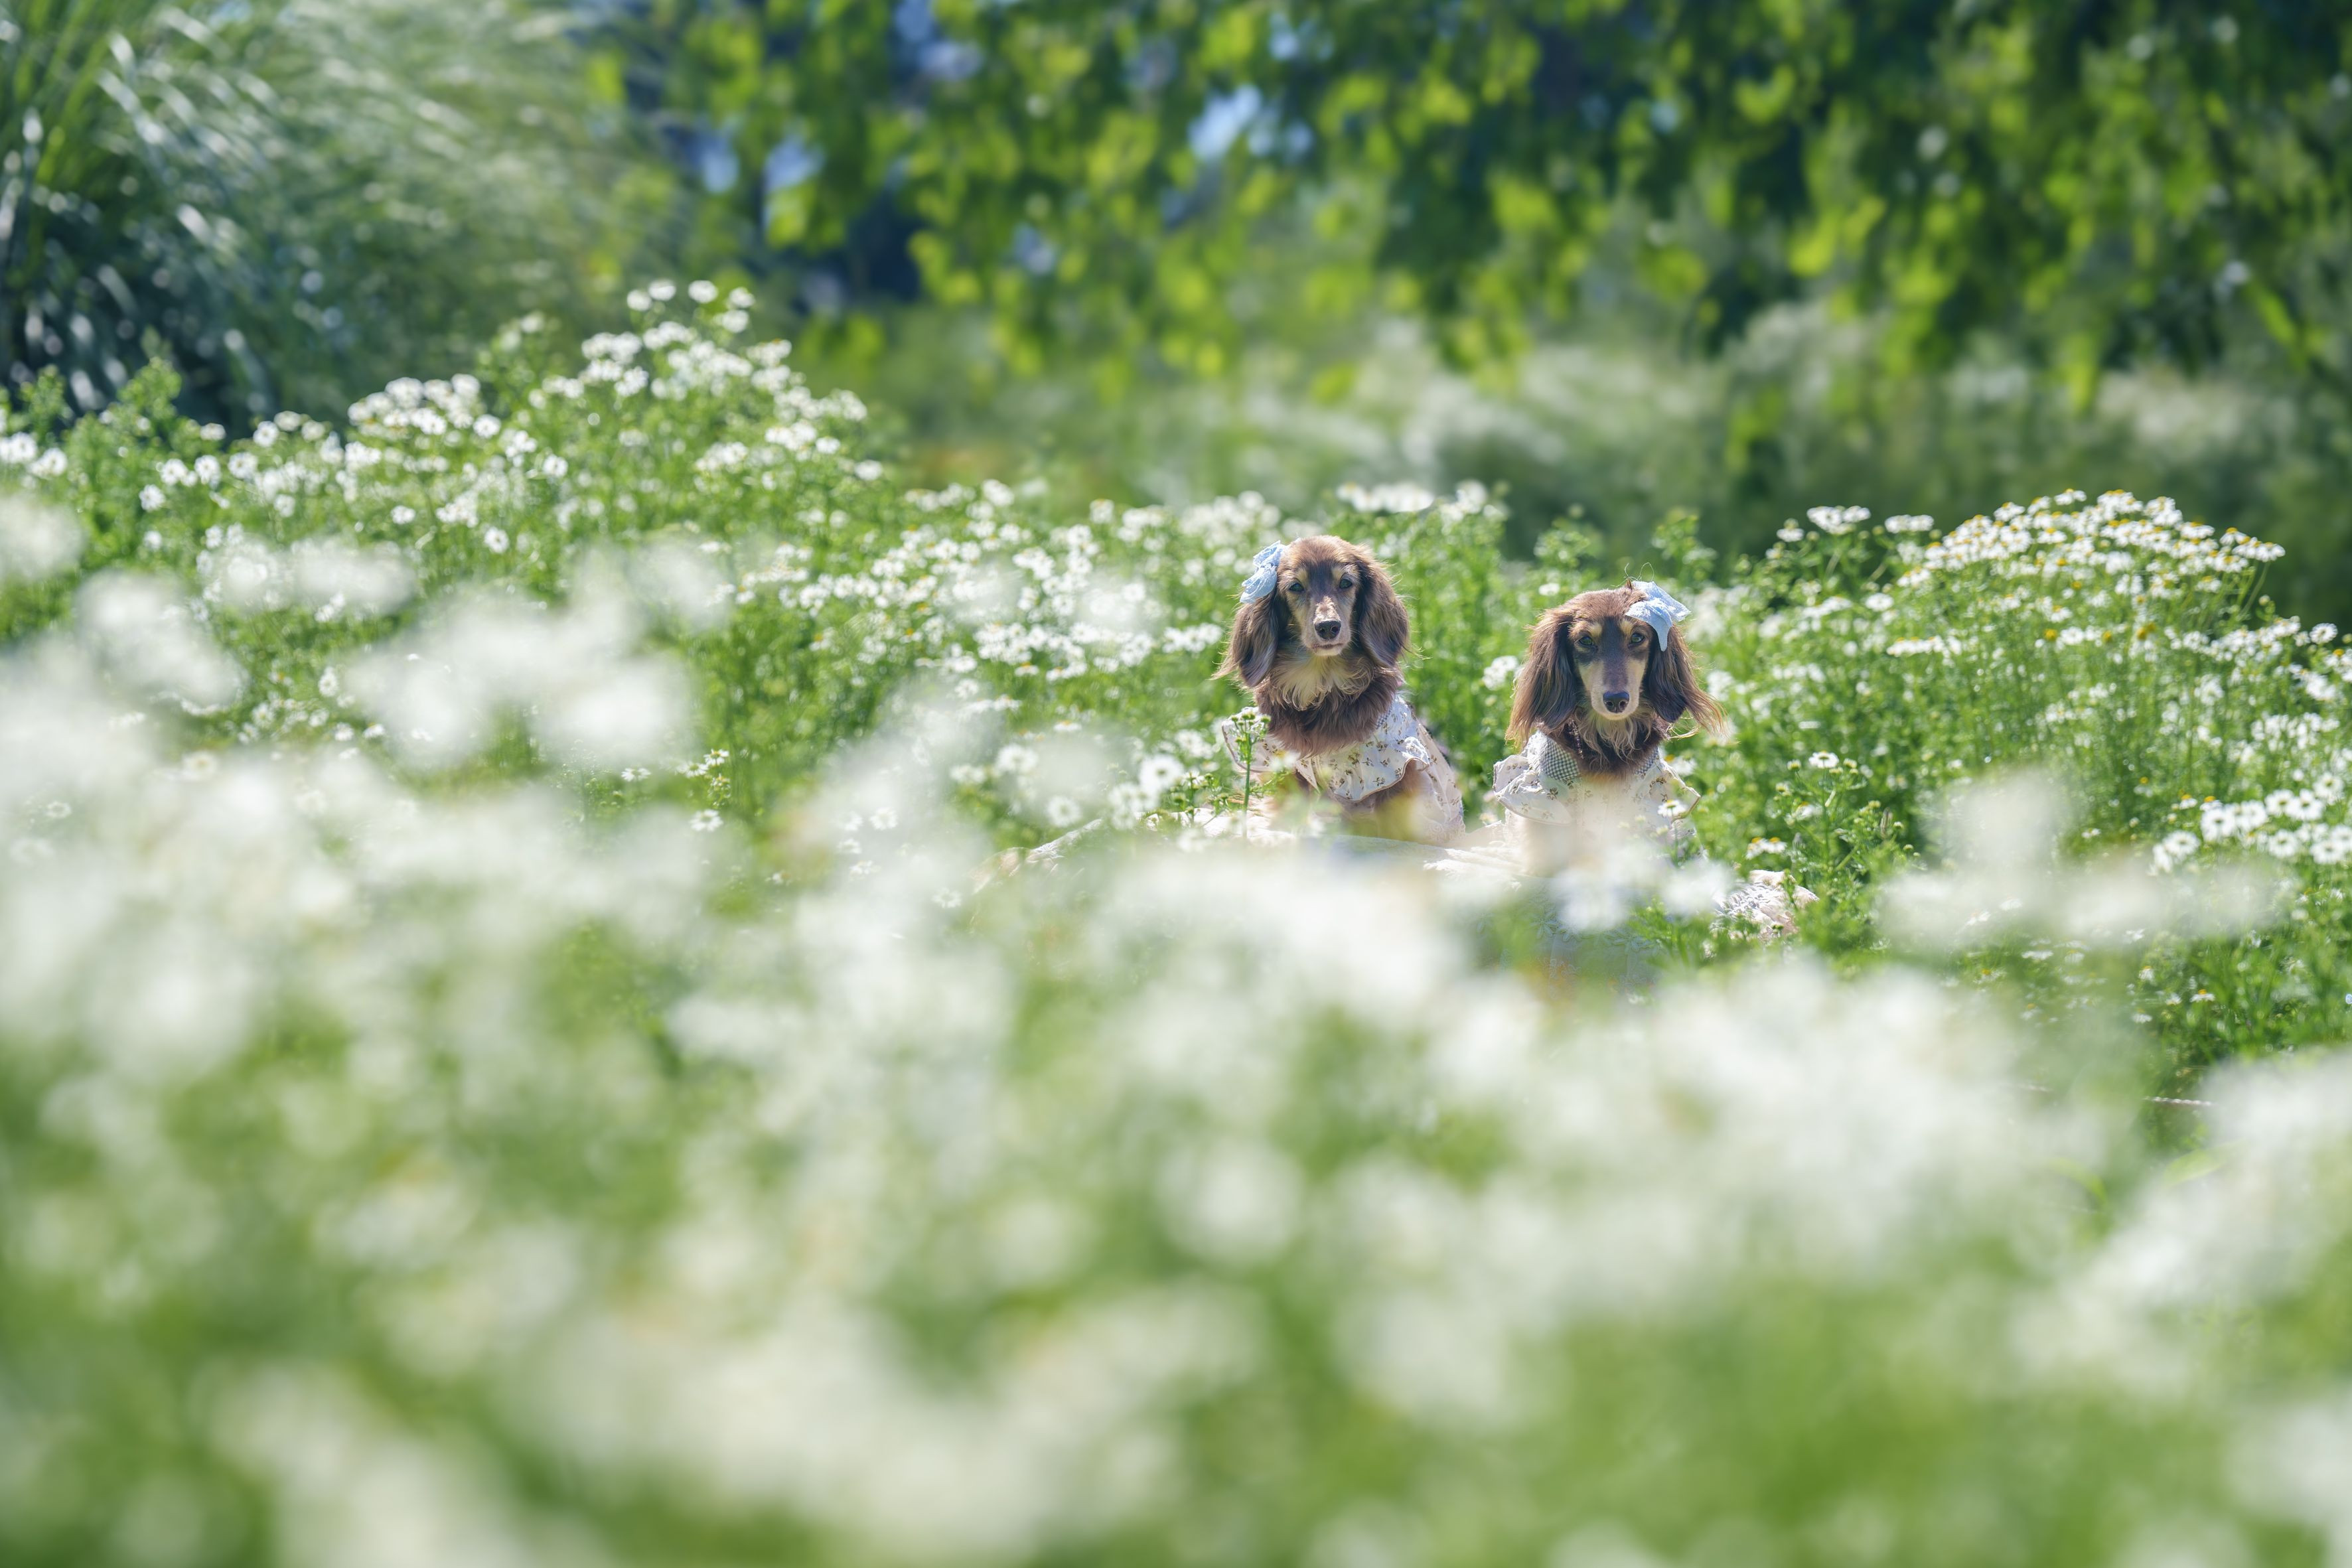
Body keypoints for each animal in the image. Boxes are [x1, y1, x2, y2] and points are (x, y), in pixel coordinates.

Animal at [1217, 535, 1464, 843]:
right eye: (1295, 586)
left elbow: (1392, 824)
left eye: (1346, 582)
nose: (1328, 627)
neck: (1324, 686)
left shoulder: (1397, 770)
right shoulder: (1284, 764)